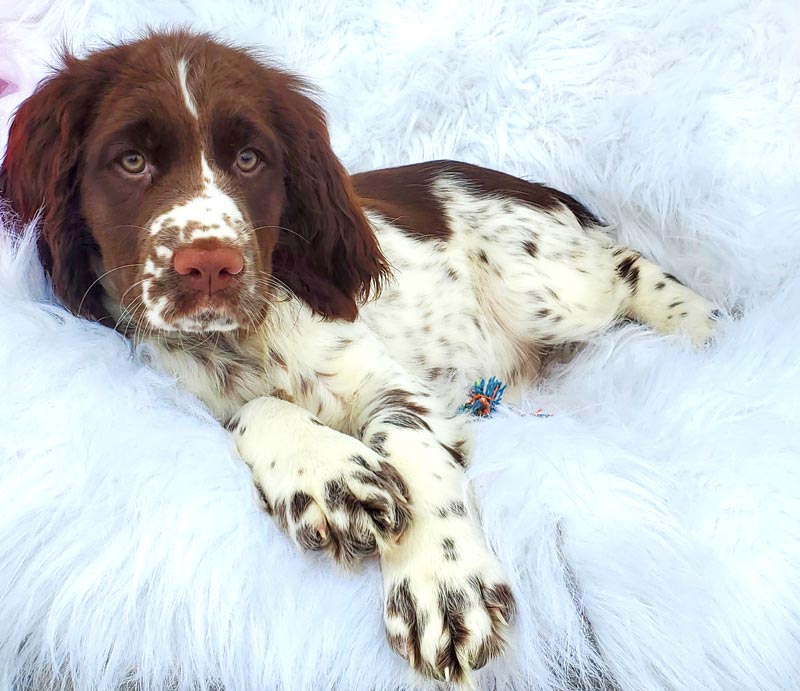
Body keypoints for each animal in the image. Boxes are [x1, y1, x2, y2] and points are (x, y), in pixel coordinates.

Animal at [0, 29, 720, 684]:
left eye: (250, 158)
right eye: (130, 161)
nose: (210, 265)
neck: (242, 336)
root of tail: (524, 182)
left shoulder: (392, 383)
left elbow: (411, 444)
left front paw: (443, 586)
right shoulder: (178, 390)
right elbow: (254, 410)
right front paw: (328, 474)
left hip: (546, 287)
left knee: (626, 266)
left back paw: (705, 326)